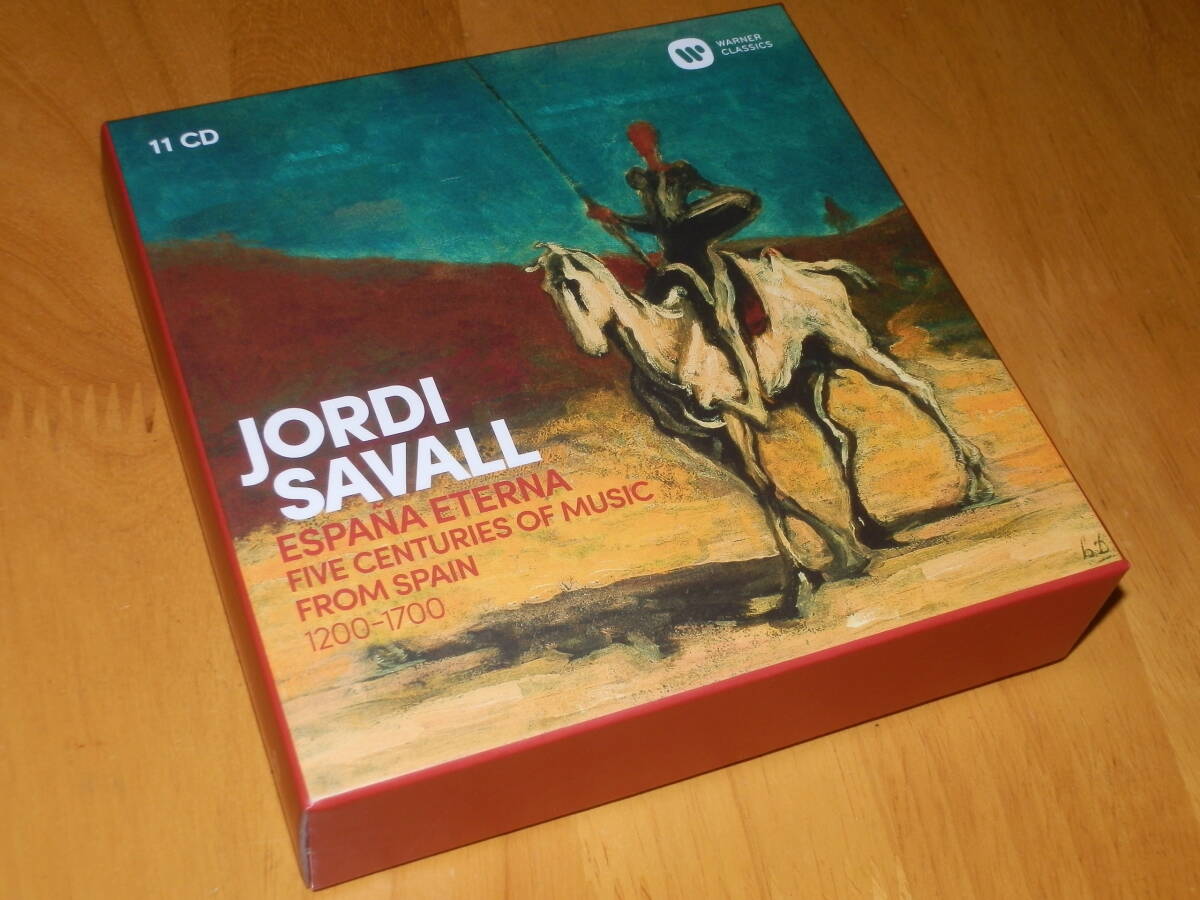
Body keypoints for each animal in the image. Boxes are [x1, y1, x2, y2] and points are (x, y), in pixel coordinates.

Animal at [526, 242, 993, 615]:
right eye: (548, 291)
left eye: (572, 283)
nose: (591, 347)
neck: (671, 345)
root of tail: (816, 271)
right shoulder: (702, 439)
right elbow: (763, 492)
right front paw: (836, 556)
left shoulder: (736, 423)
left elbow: (767, 490)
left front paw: (810, 577)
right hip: (807, 382)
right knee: (841, 438)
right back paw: (873, 529)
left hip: (855, 350)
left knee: (920, 391)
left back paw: (978, 485)